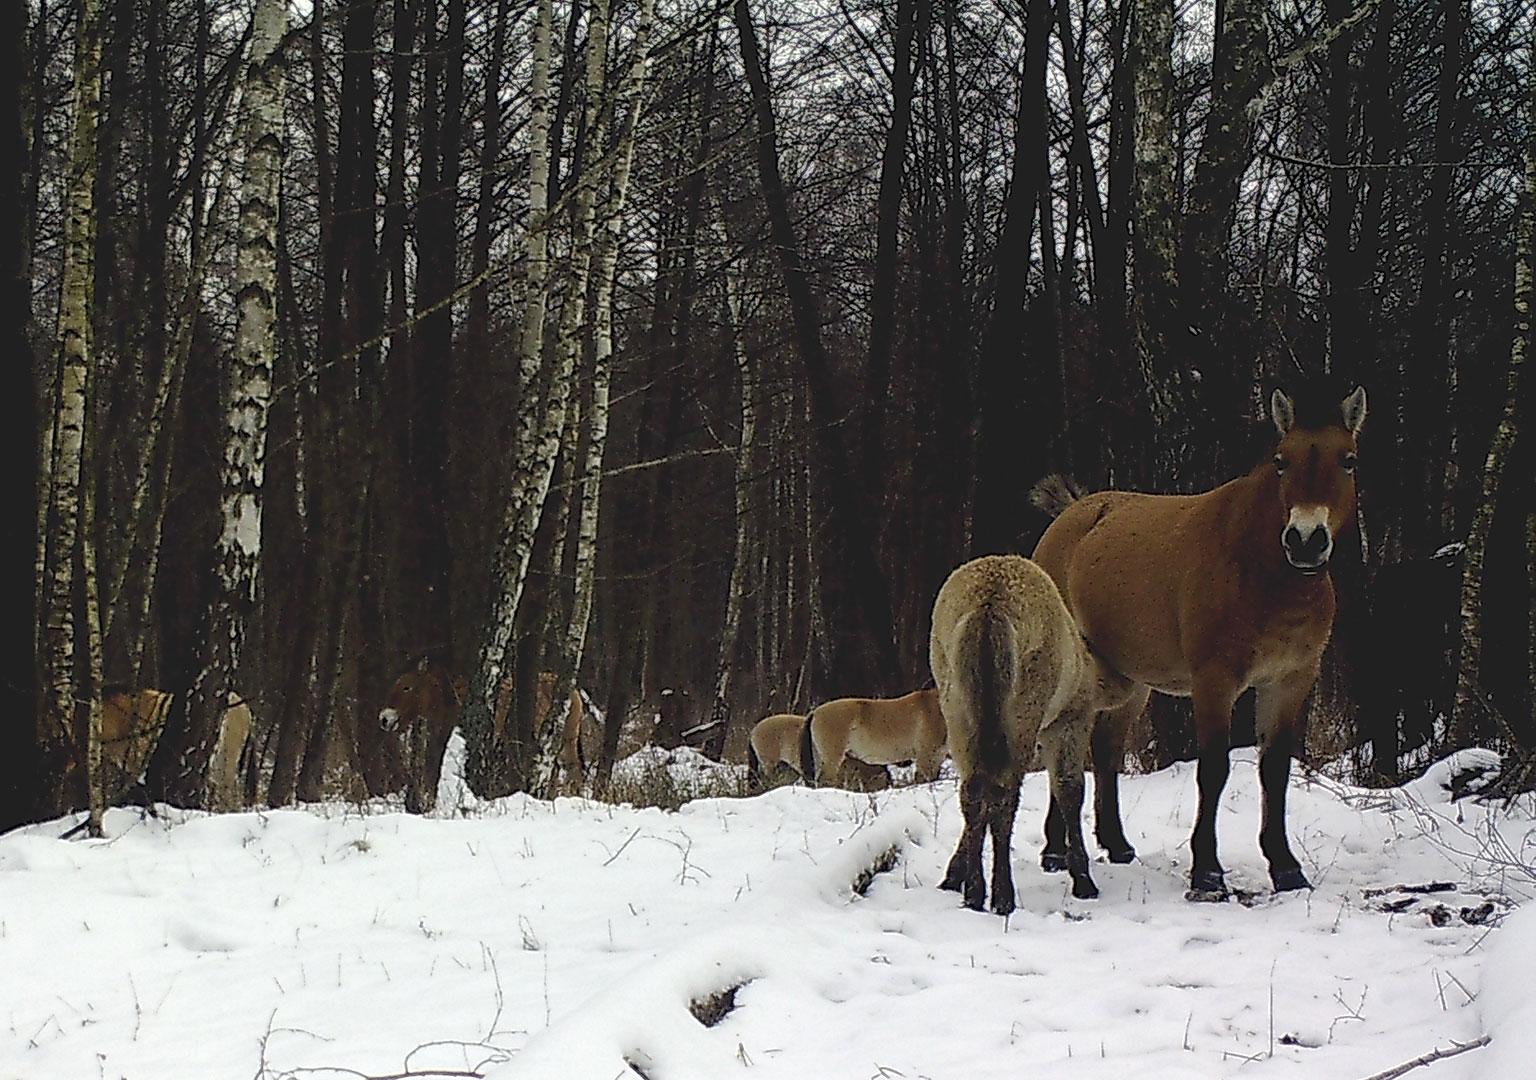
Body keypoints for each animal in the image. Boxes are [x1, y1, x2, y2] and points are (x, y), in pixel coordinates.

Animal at [921, 553, 1130, 915]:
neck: (1092, 679)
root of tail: (987, 612)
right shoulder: (1068, 720)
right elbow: (1070, 789)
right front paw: (1083, 879)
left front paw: (953, 874)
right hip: (1023, 703)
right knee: (1003, 793)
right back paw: (1002, 895)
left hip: (956, 701)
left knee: (972, 790)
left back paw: (973, 892)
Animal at [1032, 384, 1370, 897]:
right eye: (1281, 460)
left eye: (1347, 459)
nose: (1305, 540)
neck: (1260, 571)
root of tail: (1071, 515)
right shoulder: (1216, 682)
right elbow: (1213, 770)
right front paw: (1208, 872)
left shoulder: (1289, 681)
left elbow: (1275, 771)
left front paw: (1286, 867)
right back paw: (1055, 852)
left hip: (1130, 682)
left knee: (1105, 750)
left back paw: (1117, 845)